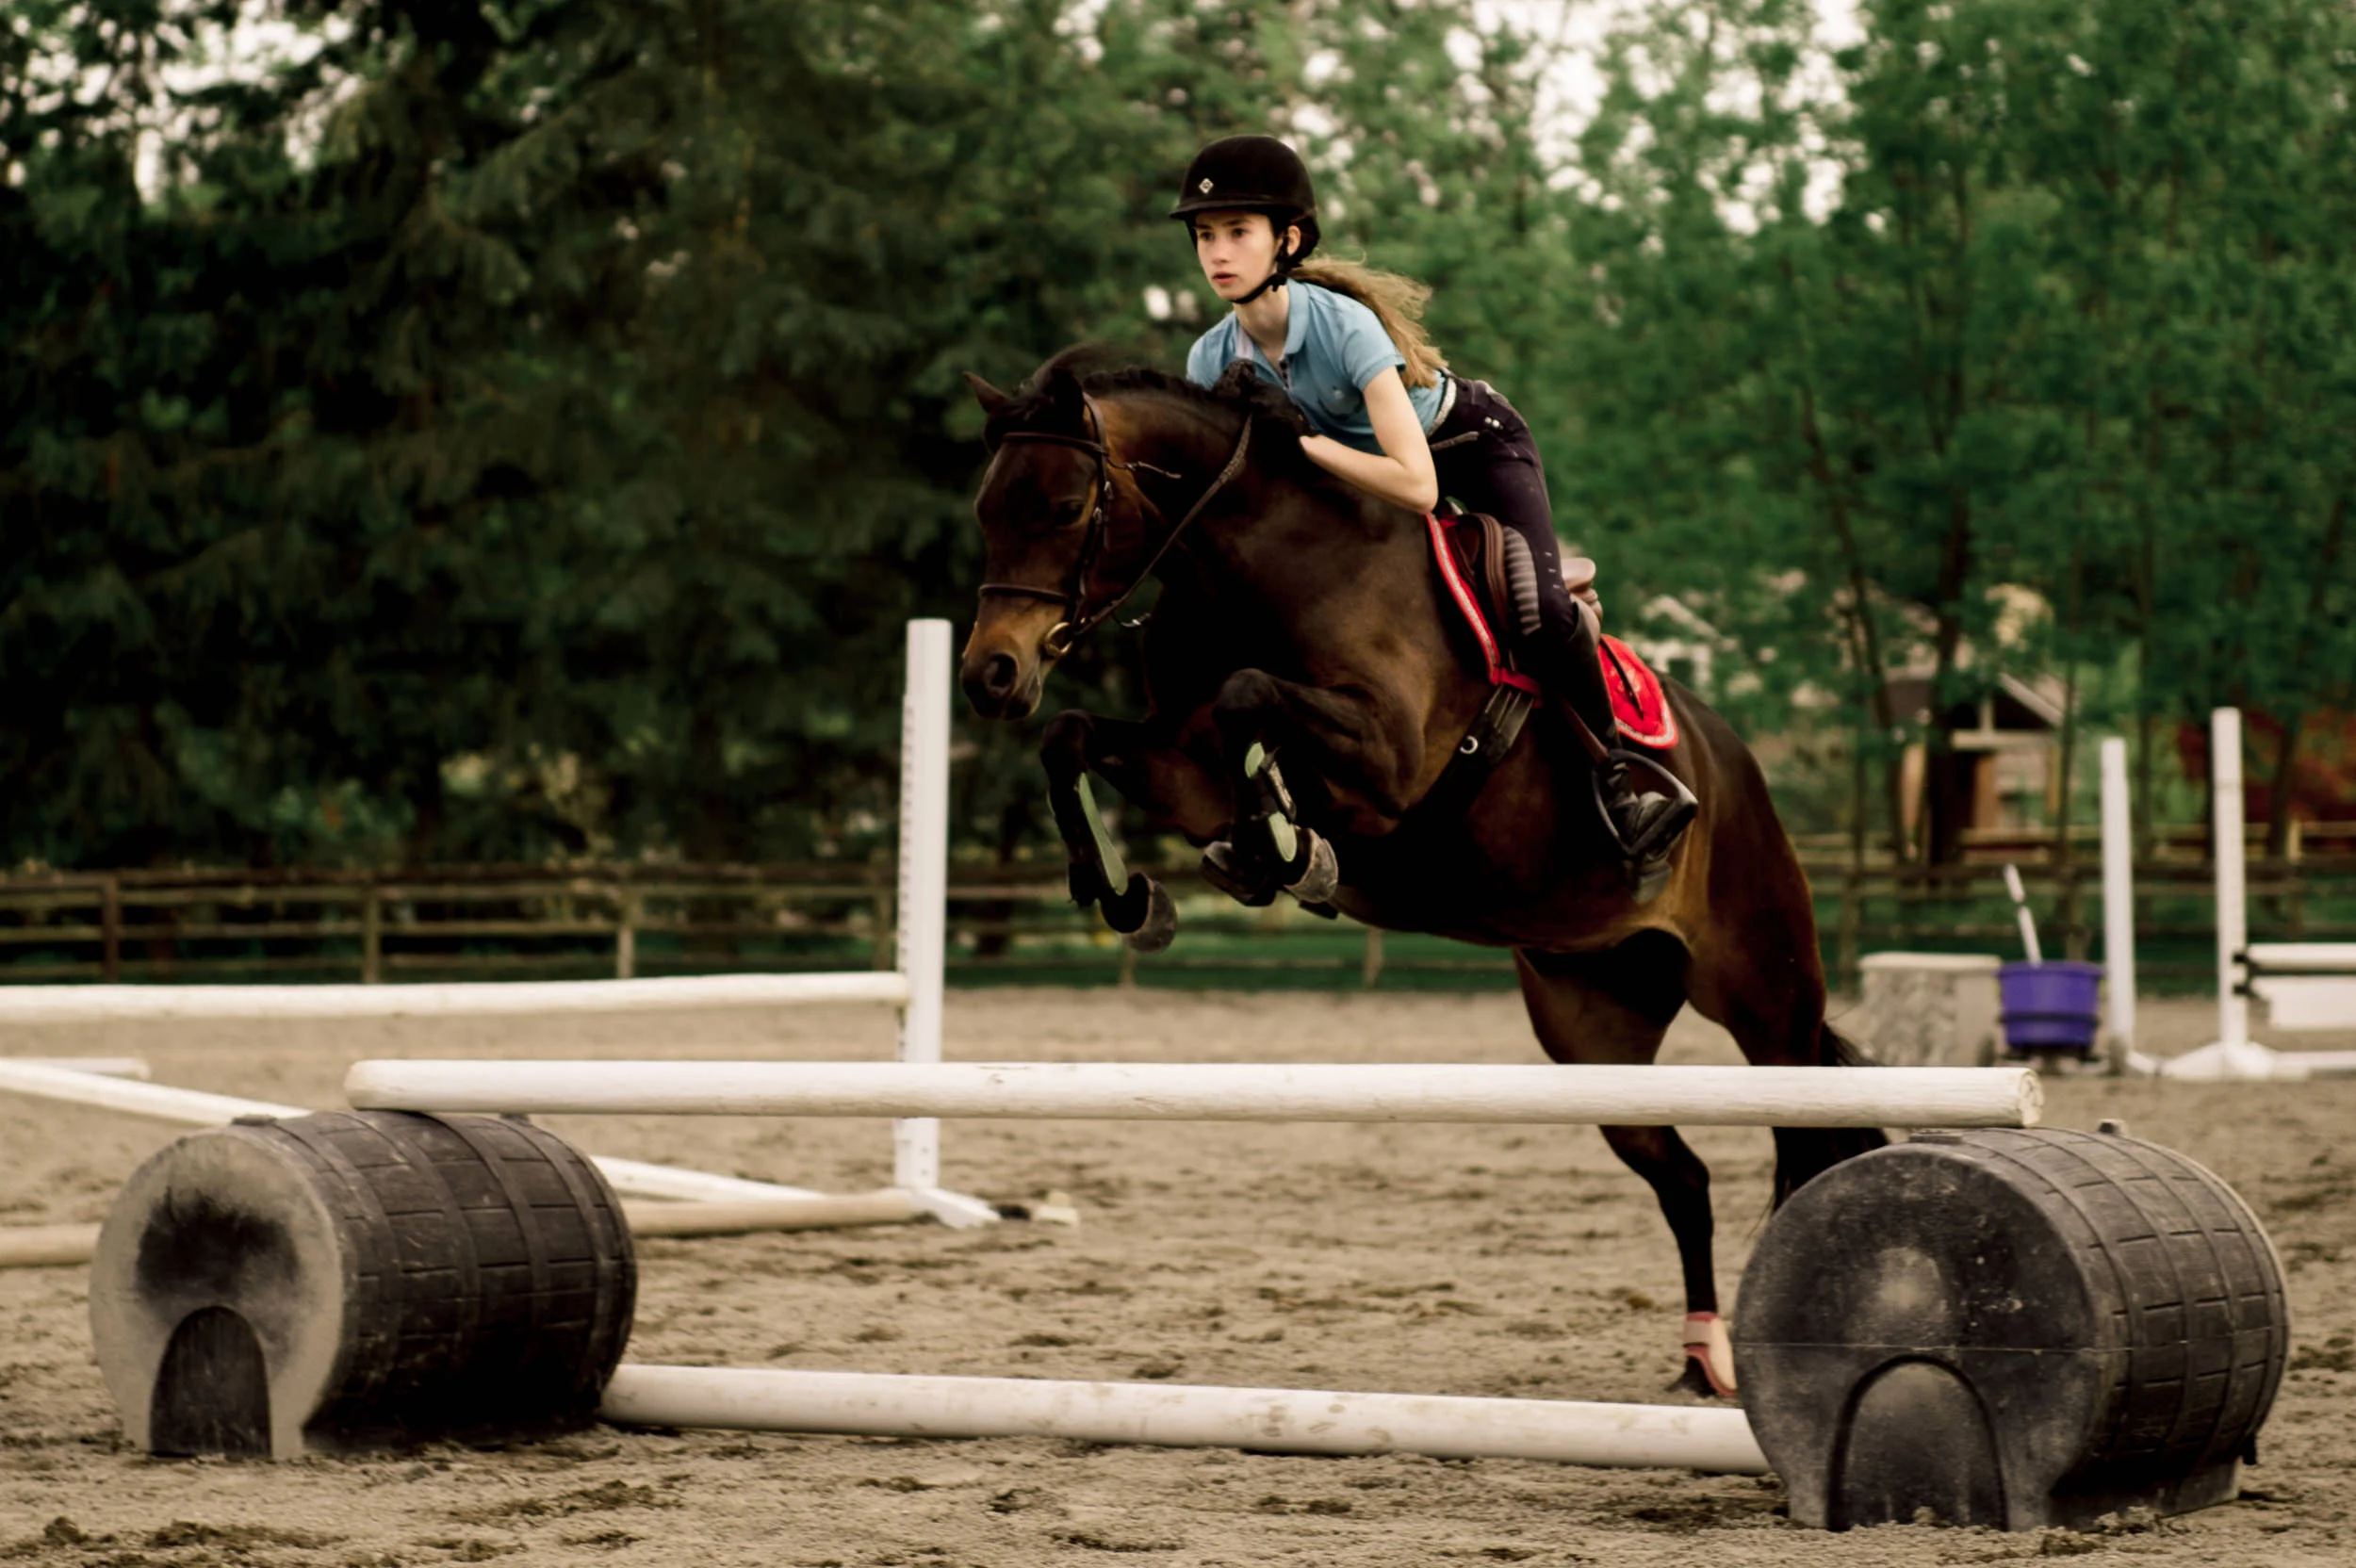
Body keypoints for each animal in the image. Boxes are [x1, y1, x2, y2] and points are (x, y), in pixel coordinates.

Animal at [955, 346, 1883, 1398]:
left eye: (1066, 507)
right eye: (987, 509)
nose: (990, 675)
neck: (1263, 566)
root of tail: (1736, 766)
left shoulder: (1390, 761)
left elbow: (1248, 698)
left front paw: (1286, 847)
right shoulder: (1179, 768)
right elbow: (1080, 735)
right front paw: (1135, 890)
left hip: (1766, 997)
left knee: (1808, 1141)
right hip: (1593, 1021)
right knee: (1682, 1175)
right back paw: (1700, 1360)